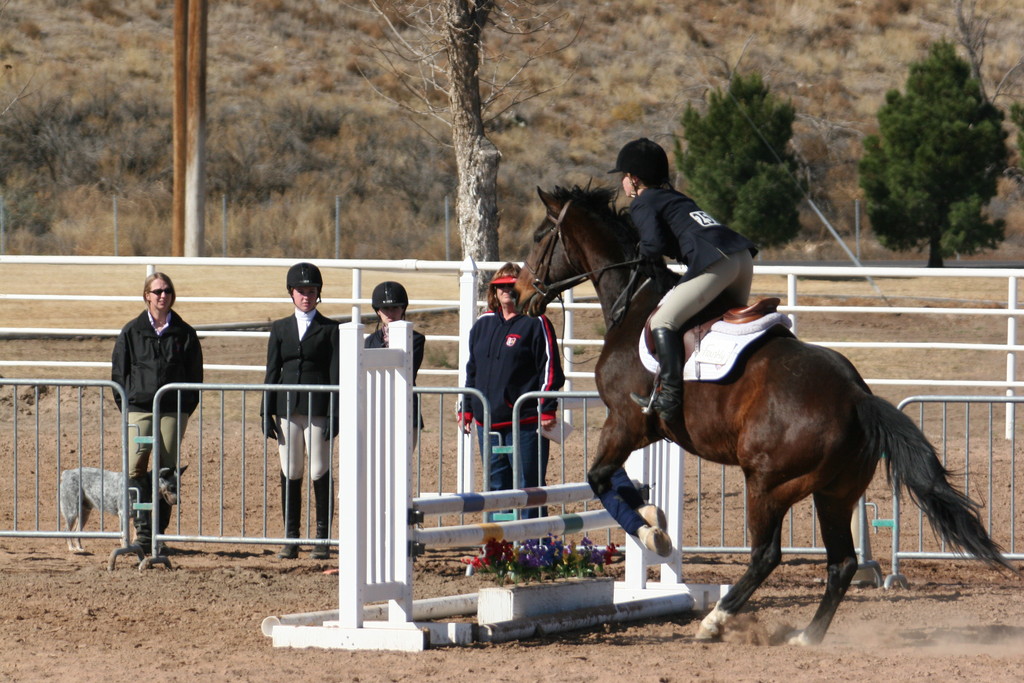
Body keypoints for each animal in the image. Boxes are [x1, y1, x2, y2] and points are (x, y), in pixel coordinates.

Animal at [516, 185, 1011, 647]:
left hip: (768, 482)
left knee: (766, 554)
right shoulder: (637, 428)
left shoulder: (627, 421)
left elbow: (600, 479)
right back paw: (806, 637)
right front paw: (654, 519)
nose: (519, 295)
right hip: (835, 492)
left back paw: (715, 622)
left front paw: (653, 529)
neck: (634, 303)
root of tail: (856, 396)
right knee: (842, 562)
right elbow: (612, 482)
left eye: (540, 236)